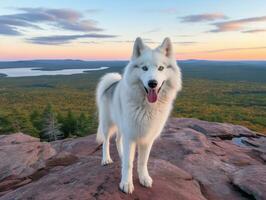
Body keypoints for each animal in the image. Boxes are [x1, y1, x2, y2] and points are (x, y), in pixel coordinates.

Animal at [96, 37, 182, 194]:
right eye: (144, 68)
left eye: (161, 68)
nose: (152, 83)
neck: (147, 107)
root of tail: (111, 85)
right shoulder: (130, 136)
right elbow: (129, 164)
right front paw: (126, 183)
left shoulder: (147, 139)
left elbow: (142, 161)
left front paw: (144, 178)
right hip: (107, 125)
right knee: (106, 142)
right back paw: (106, 159)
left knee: (118, 140)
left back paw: (122, 155)